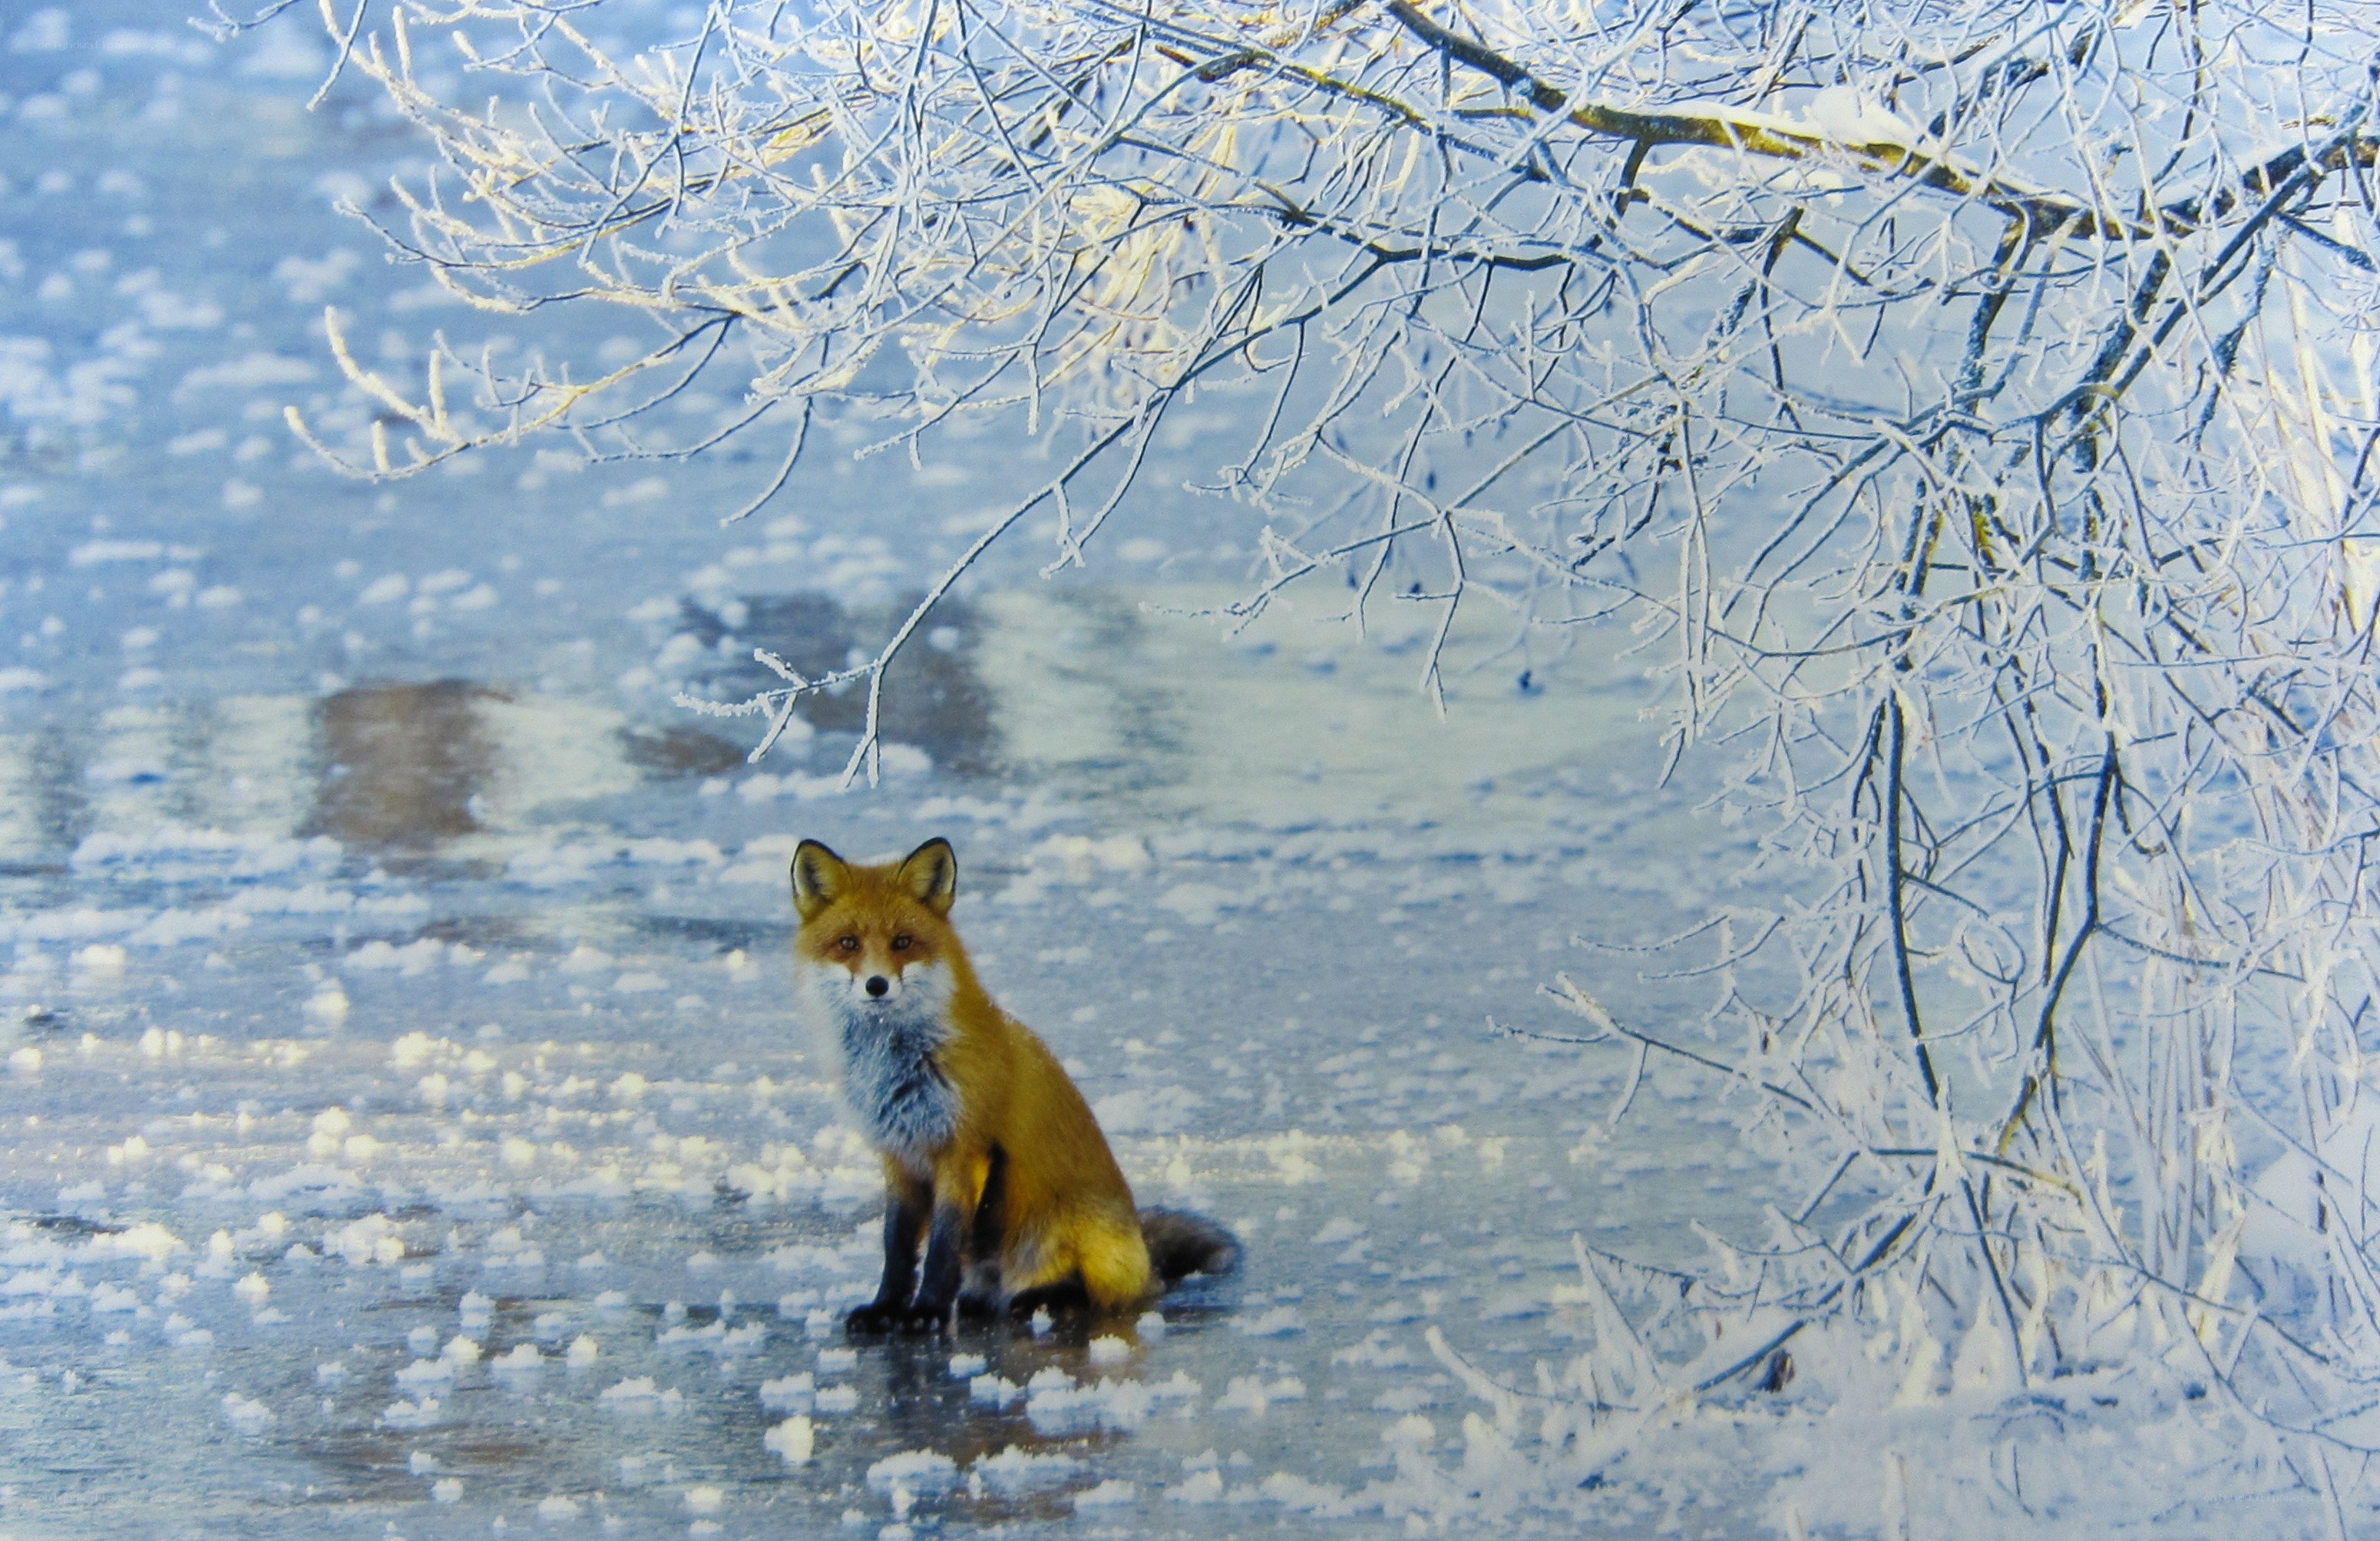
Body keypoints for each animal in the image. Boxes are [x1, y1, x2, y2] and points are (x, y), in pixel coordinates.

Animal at [790, 836, 1237, 1333]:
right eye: (848, 943)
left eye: (903, 942)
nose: (876, 985)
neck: (897, 1062)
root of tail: (1144, 1255)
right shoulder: (898, 1156)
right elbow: (897, 1248)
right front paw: (886, 1308)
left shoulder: (963, 1151)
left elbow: (943, 1249)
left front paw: (926, 1313)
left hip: (1069, 1224)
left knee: (1106, 1293)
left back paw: (1046, 1301)